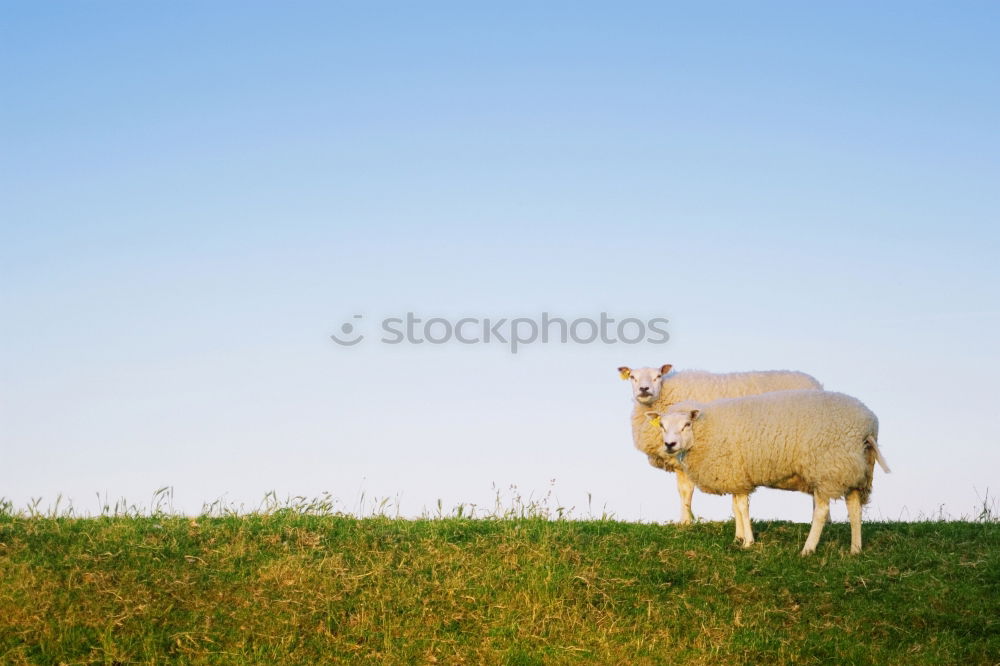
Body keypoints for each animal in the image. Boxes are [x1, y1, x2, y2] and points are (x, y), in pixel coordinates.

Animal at [616, 364, 820, 536]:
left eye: (658, 376)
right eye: (632, 377)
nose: (644, 389)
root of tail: (815, 383)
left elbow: (686, 491)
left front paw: (686, 523)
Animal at [644, 390, 896, 556]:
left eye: (686, 425)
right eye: (662, 426)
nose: (669, 444)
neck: (706, 429)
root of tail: (868, 424)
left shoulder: (736, 471)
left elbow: (742, 508)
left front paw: (748, 542)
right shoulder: (738, 476)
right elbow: (736, 507)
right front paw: (739, 537)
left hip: (827, 468)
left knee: (822, 512)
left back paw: (808, 549)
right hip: (853, 470)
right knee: (854, 509)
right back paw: (855, 549)